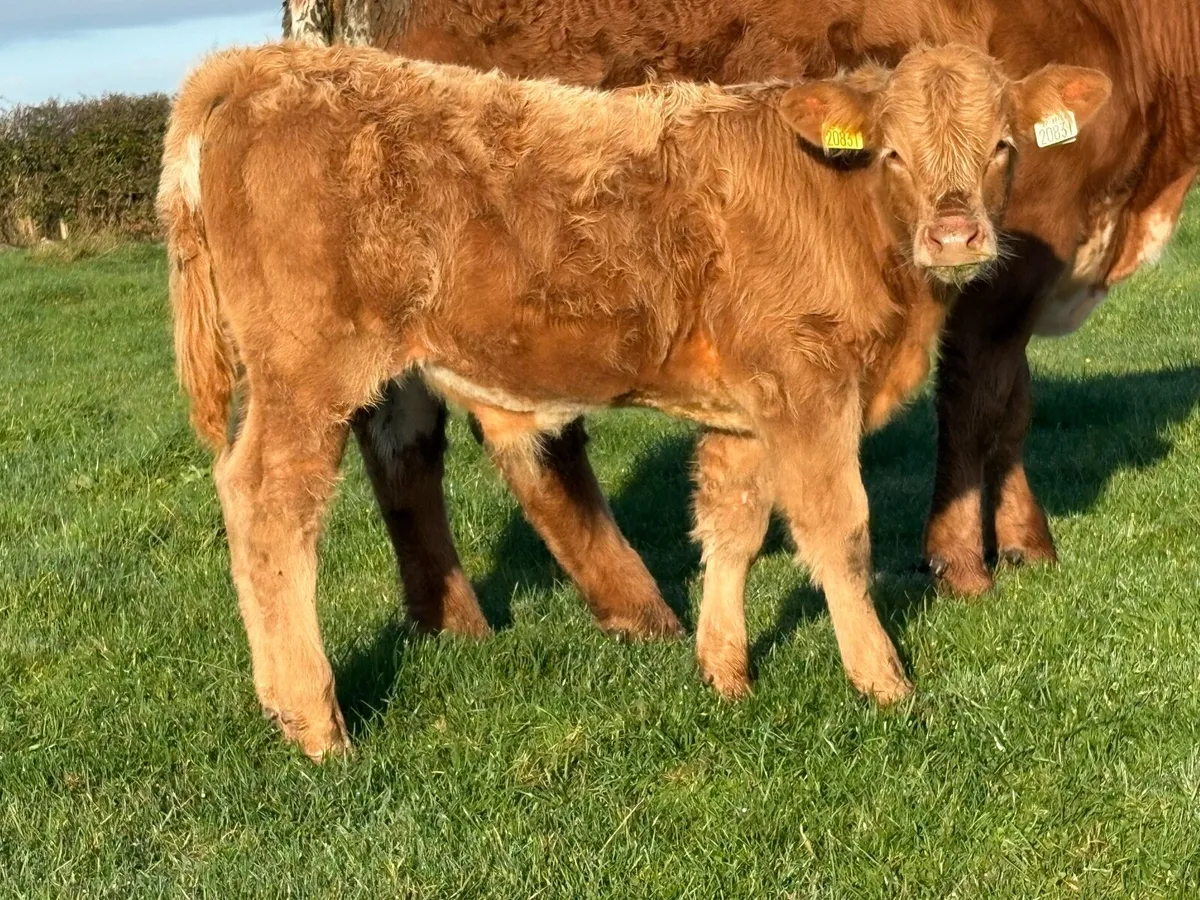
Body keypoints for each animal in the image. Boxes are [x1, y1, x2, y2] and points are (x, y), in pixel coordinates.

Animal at [159, 40, 1109, 756]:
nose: (955, 235)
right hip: (306, 375)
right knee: (272, 507)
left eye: (1003, 146)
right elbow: (839, 531)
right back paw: (315, 723)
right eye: (893, 152)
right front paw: (883, 682)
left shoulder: (750, 409)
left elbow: (731, 523)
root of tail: (263, 63)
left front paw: (725, 673)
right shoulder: (809, 385)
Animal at [280, 0, 1199, 631]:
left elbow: (1012, 410)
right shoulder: (999, 265)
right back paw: (642, 609)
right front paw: (961, 563)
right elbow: (978, 408)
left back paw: (454, 620)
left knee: (401, 433)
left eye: (1004, 139)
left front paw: (1027, 546)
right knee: (522, 435)